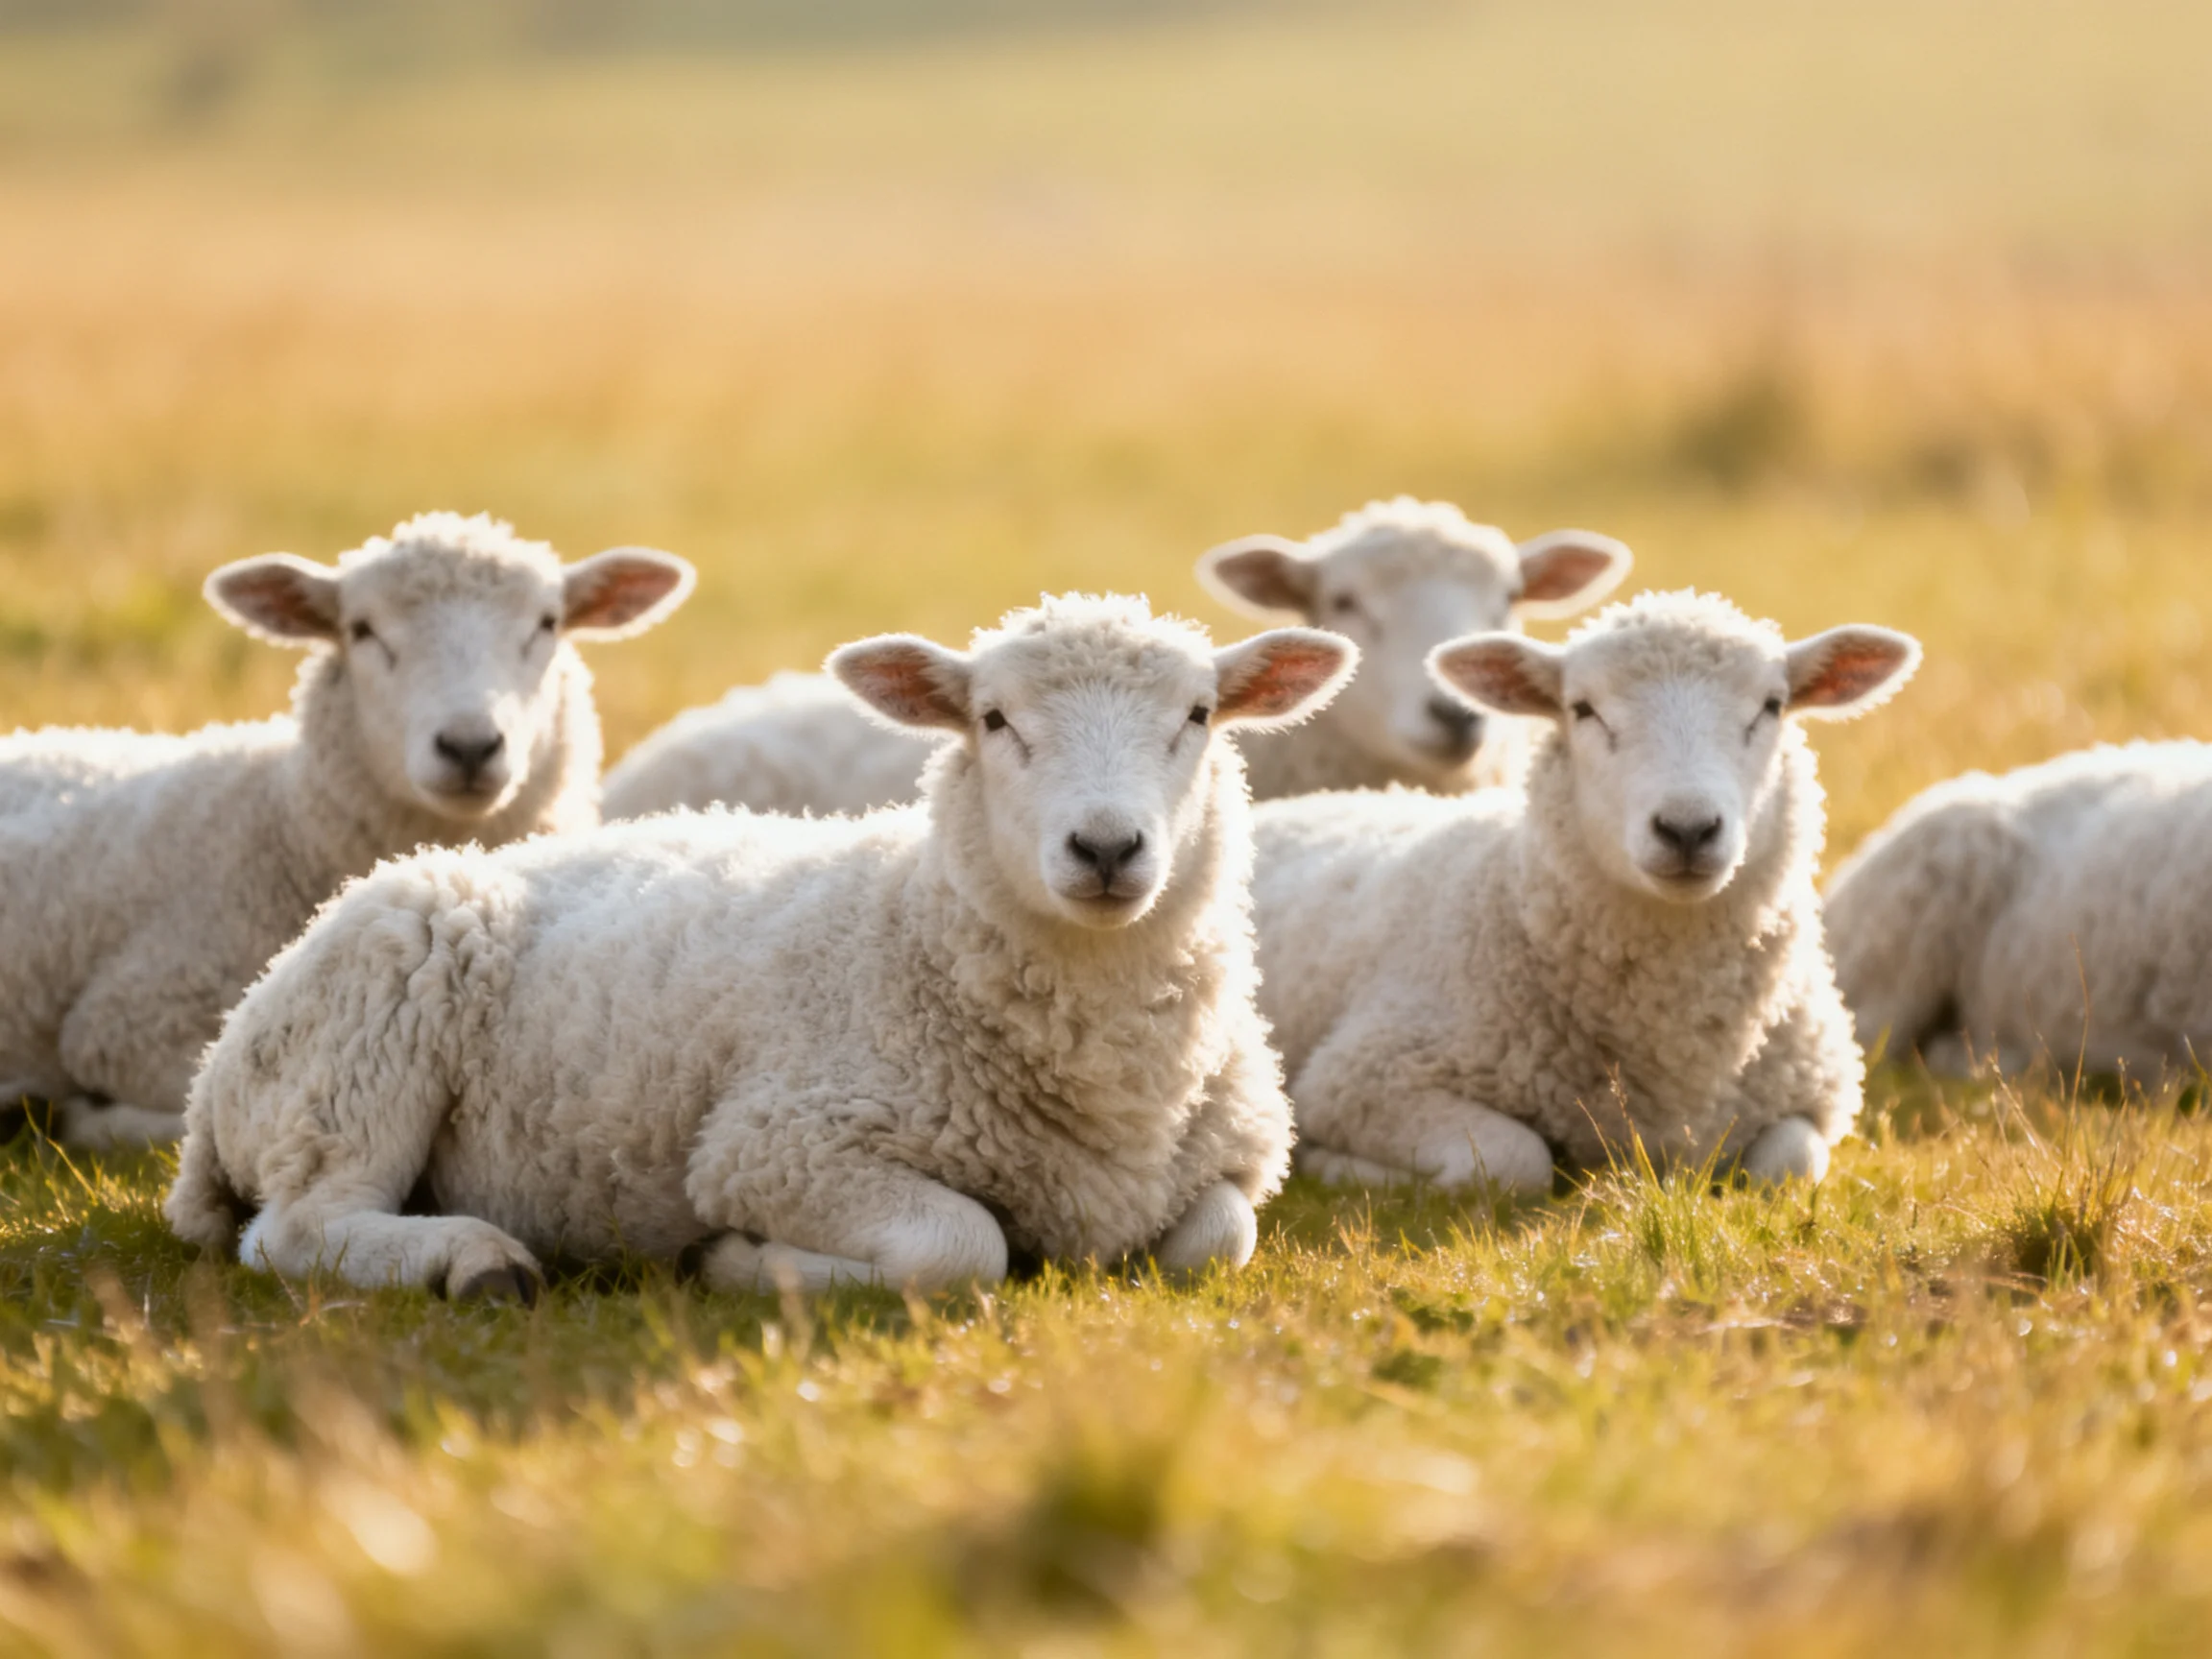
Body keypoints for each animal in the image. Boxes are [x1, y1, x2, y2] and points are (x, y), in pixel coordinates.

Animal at [165, 594, 1355, 1299]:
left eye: (1198, 715)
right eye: (995, 720)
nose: (1106, 847)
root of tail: (213, 1081)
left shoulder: (1238, 1161)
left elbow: (1215, 1241)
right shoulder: (776, 1143)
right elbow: (959, 1248)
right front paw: (745, 1261)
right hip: (367, 1033)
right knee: (296, 1229)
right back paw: (473, 1258)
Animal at [1250, 590, 1919, 1194]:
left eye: (1772, 706)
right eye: (1583, 709)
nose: (1687, 829)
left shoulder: (1816, 1090)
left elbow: (1786, 1168)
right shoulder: (1363, 1077)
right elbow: (1512, 1161)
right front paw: (1335, 1165)